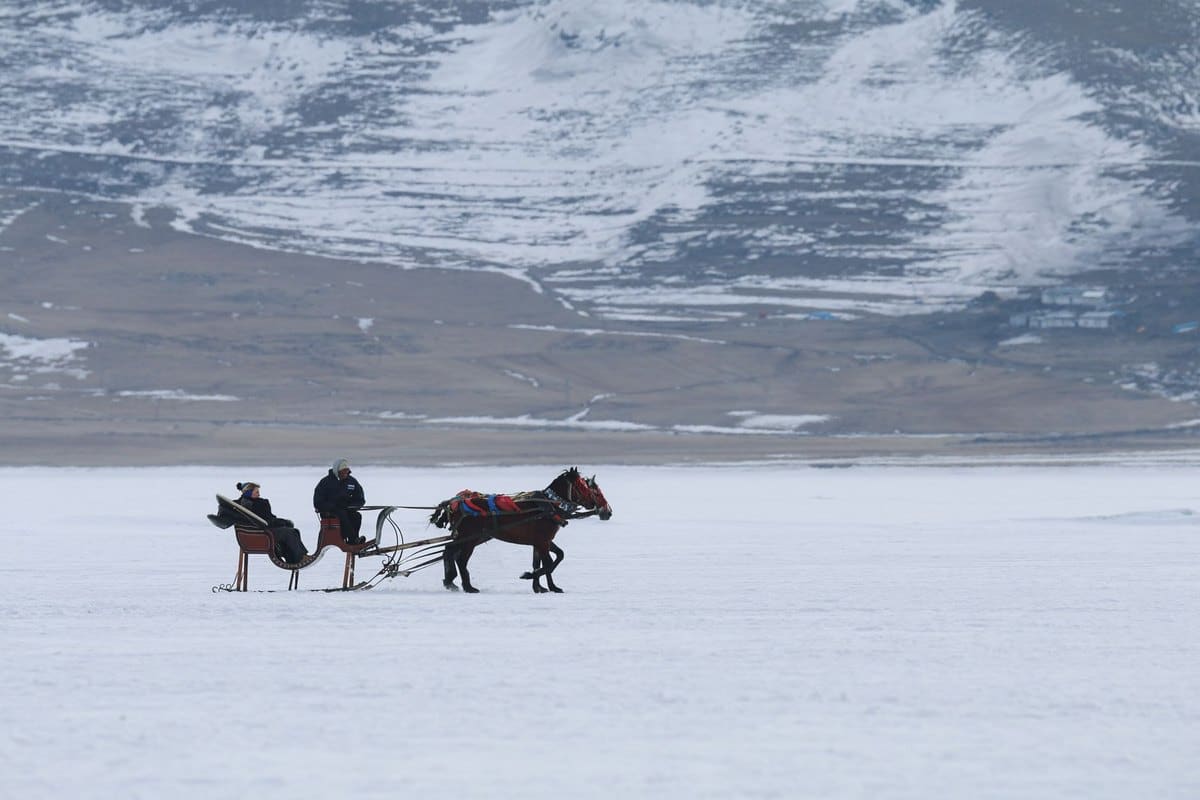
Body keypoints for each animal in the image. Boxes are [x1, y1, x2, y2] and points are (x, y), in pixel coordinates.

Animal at [430, 467, 613, 593]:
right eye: (588, 488)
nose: (607, 511)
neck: (548, 506)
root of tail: (454, 503)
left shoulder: (542, 541)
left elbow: (547, 559)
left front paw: (541, 587)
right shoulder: (542, 541)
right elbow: (548, 563)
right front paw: (535, 578)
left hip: (468, 537)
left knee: (449, 550)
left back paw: (450, 581)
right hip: (470, 537)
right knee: (460, 558)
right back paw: (468, 587)